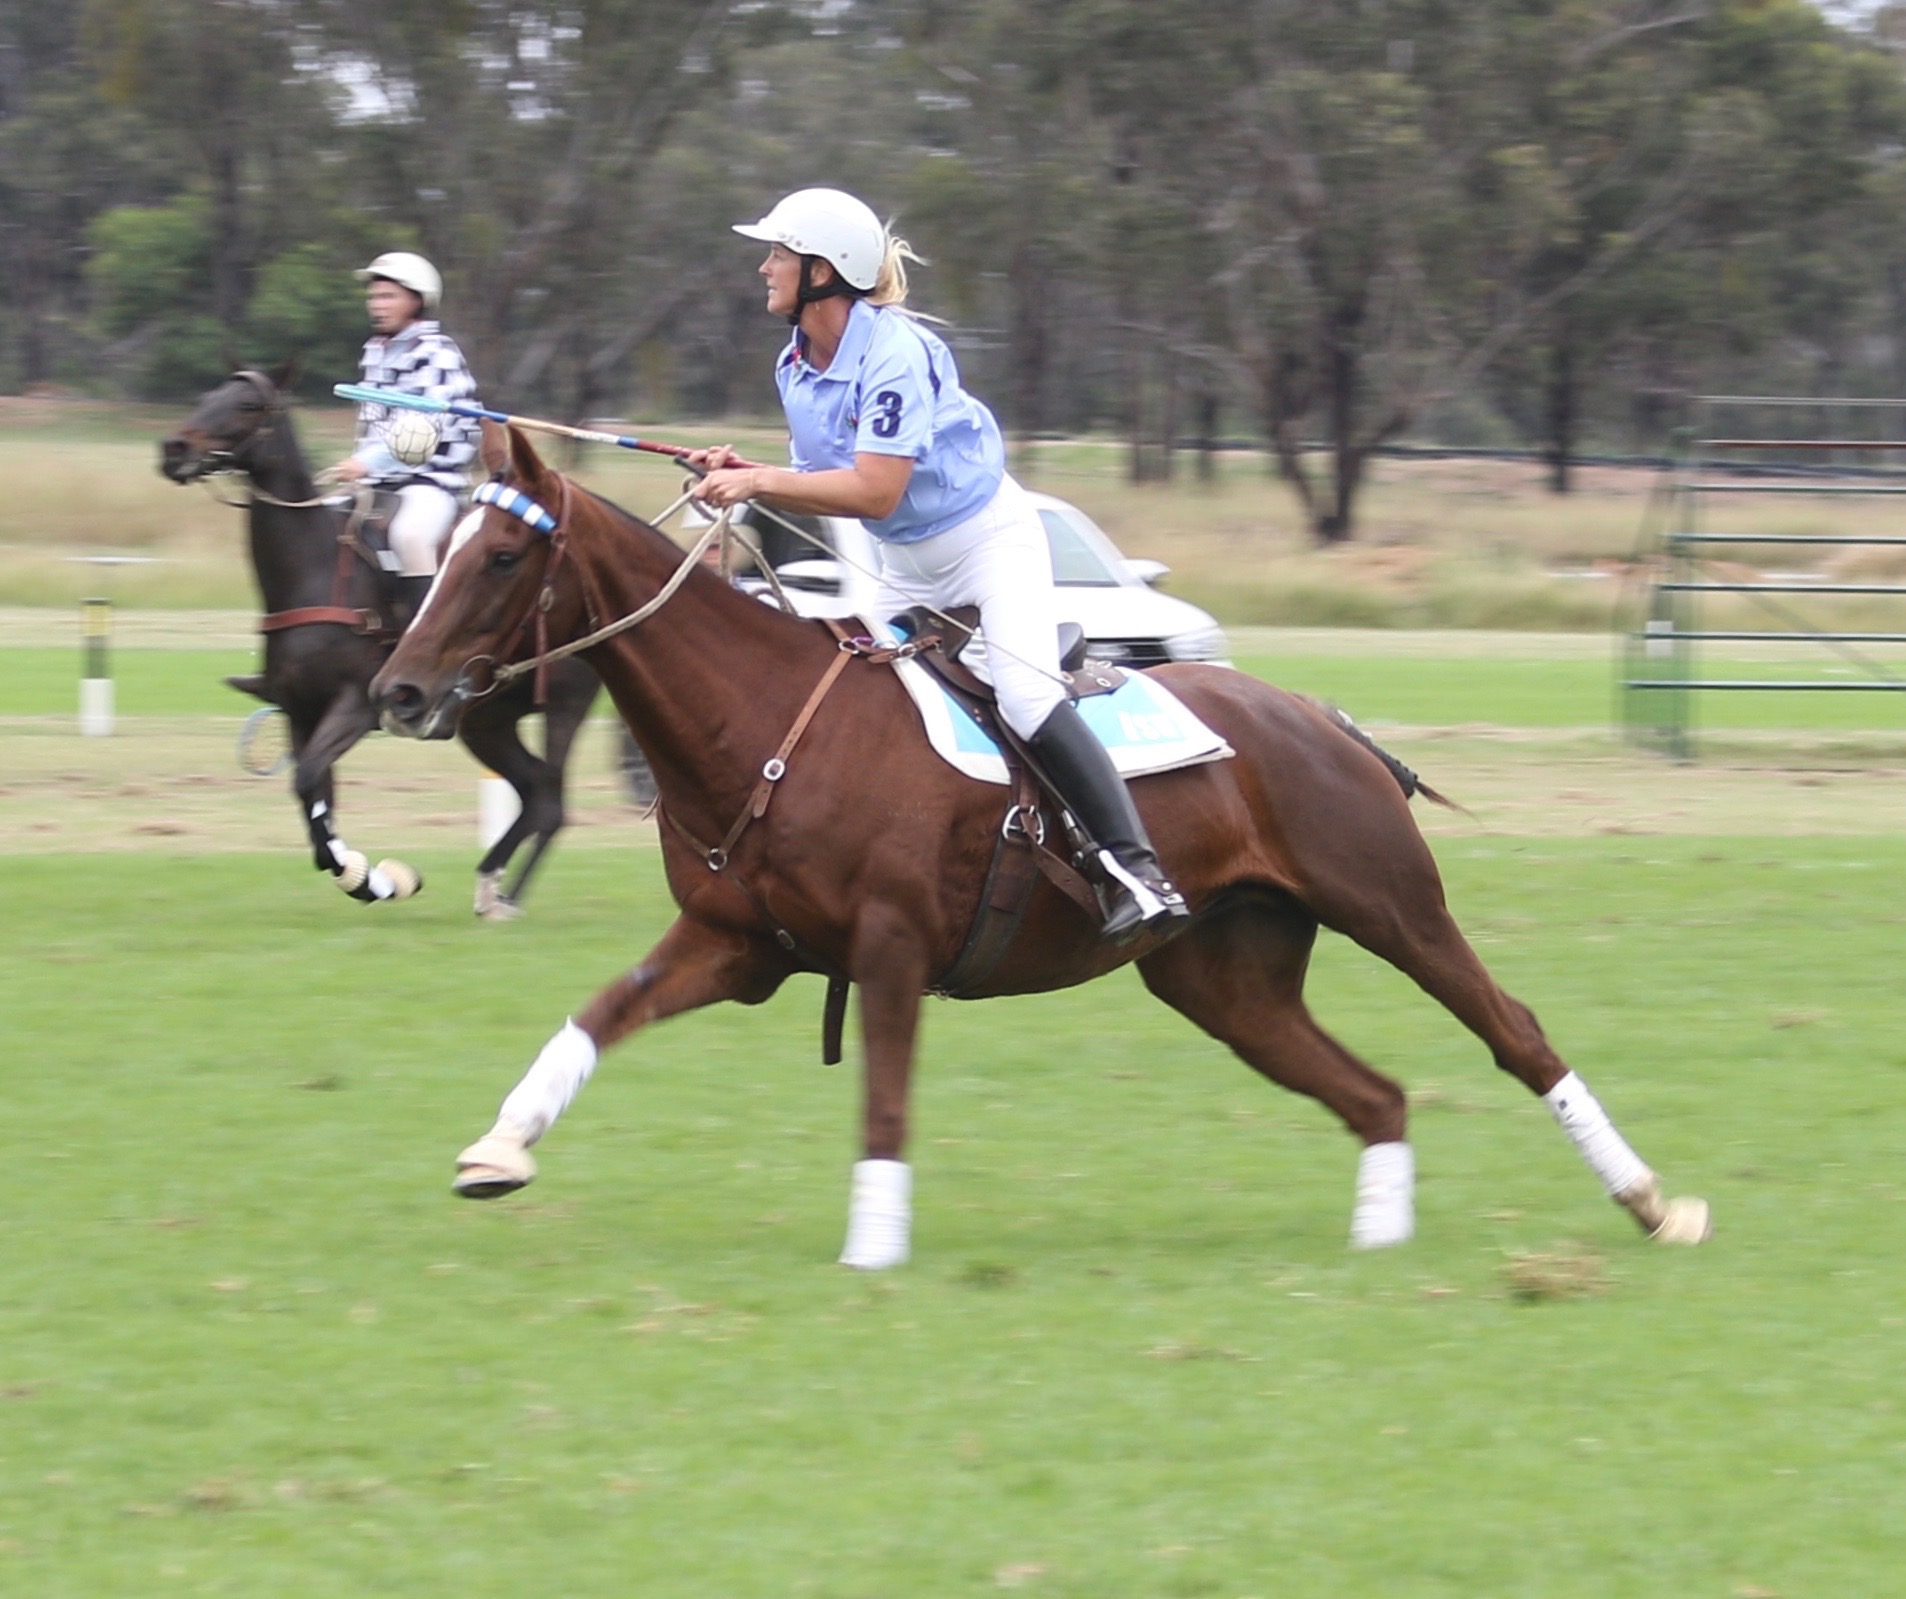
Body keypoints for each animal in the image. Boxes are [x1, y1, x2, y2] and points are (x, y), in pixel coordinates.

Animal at [159, 370, 601, 918]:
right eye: (206, 397)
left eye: (248, 405)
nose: (174, 450)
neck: (316, 570)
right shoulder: (300, 713)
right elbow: (314, 798)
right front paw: (364, 875)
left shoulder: (355, 706)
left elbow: (309, 782)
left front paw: (377, 880)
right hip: (486, 723)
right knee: (537, 790)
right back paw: (491, 887)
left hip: (563, 706)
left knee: (553, 802)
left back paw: (507, 897)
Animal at [371, 420, 1710, 1264]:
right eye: (443, 553)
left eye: (502, 555)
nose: (398, 691)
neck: (762, 722)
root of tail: (1319, 716)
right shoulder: (739, 944)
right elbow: (599, 1014)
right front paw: (498, 1149)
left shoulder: (890, 947)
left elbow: (885, 1108)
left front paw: (872, 1248)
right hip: (1225, 978)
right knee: (1373, 1094)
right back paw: (1381, 1238)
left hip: (1390, 905)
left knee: (1512, 1033)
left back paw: (1653, 1205)